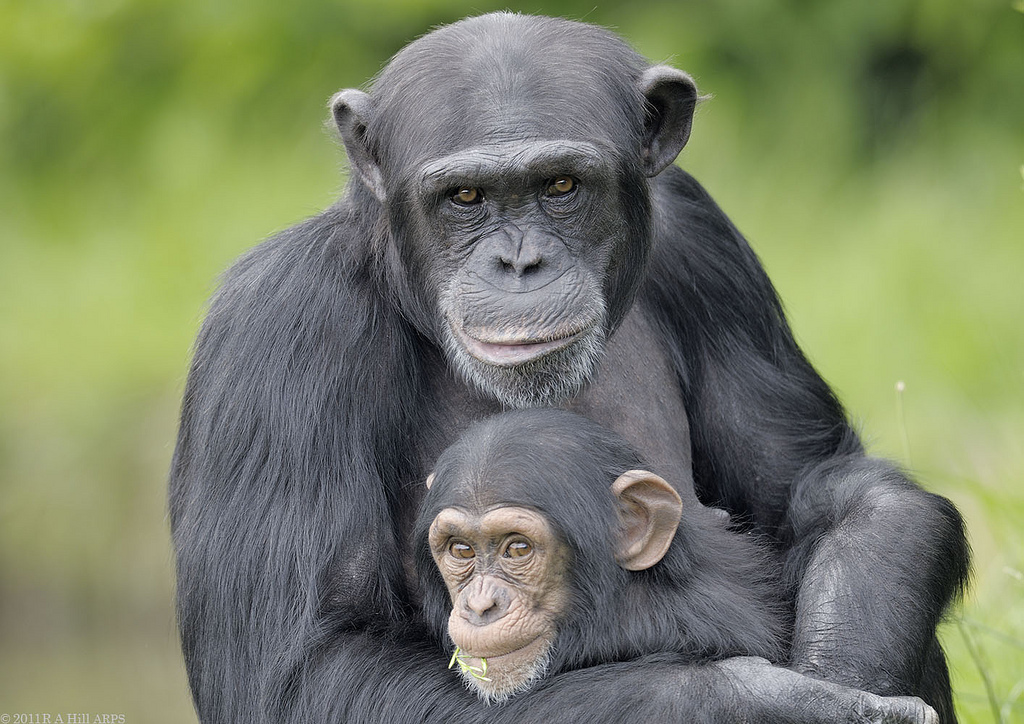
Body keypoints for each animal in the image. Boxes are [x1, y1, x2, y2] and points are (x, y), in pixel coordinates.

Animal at [167, 9, 966, 724]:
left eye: (560, 187)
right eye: (464, 197)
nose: (520, 262)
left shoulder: (707, 244)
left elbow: (812, 486)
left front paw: (846, 662)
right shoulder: (281, 327)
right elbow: (306, 668)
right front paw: (780, 703)